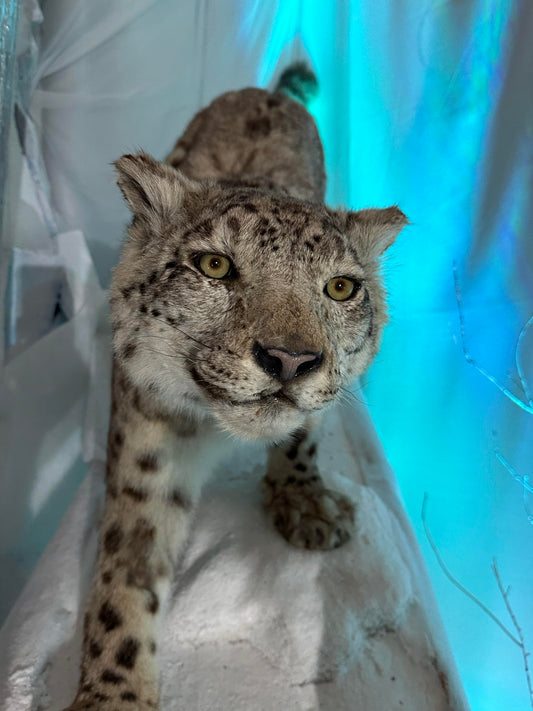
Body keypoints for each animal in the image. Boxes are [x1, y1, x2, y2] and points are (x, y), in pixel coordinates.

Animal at [64, 64, 407, 710]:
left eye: (341, 287)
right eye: (214, 265)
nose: (291, 360)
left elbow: (303, 437)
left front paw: (307, 504)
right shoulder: (147, 449)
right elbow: (127, 566)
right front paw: (115, 695)